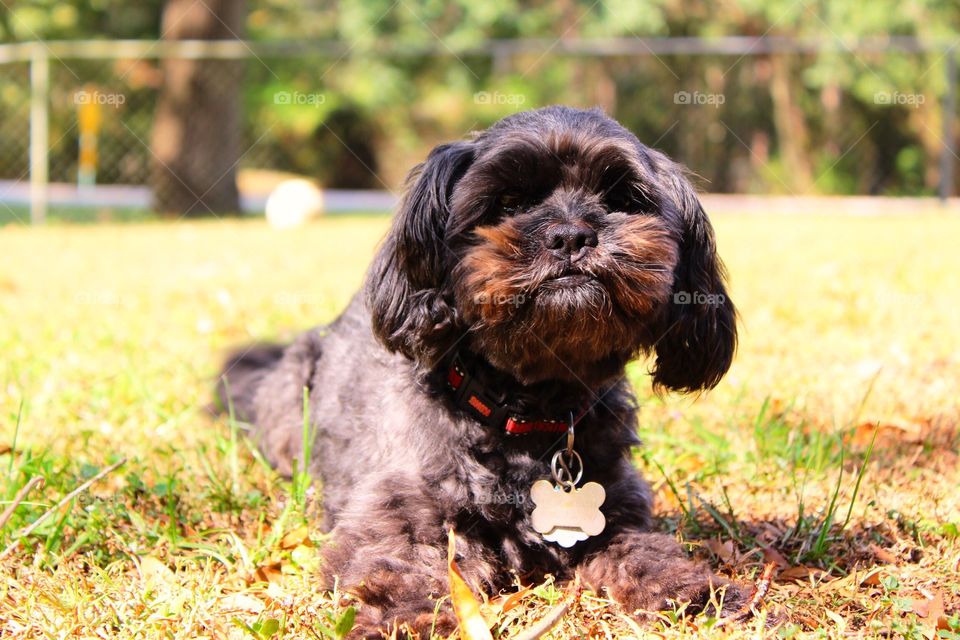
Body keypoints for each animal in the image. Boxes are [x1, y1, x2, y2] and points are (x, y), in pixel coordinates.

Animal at [219, 104, 744, 636]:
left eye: (620, 199)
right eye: (508, 202)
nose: (571, 235)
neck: (525, 413)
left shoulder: (613, 504)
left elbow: (642, 548)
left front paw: (689, 588)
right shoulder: (398, 508)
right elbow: (400, 564)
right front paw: (405, 618)